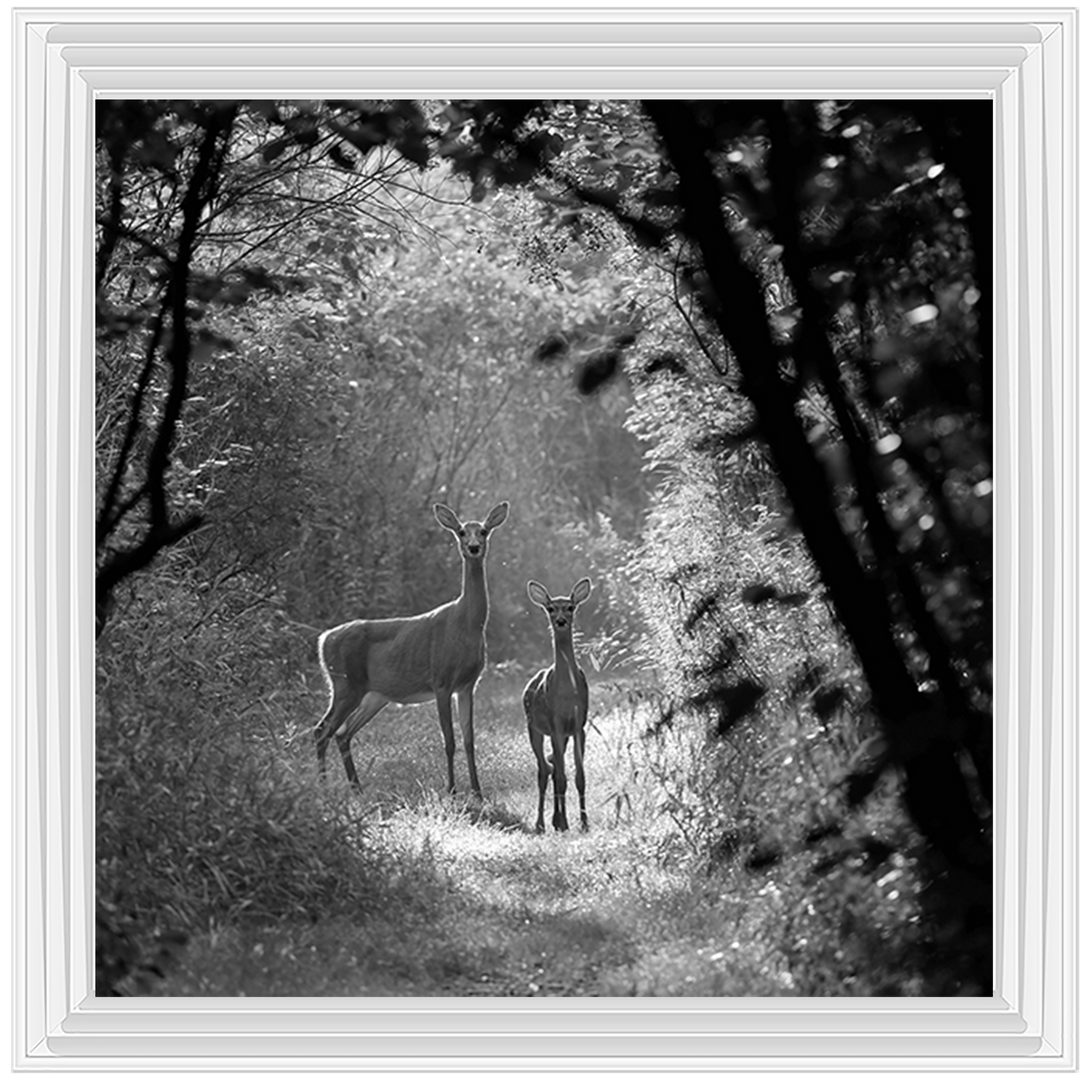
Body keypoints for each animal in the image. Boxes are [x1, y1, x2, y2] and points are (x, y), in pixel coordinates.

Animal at [315, 500, 509, 799]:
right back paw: (324, 788)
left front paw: (477, 791)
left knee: (342, 733)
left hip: (374, 695)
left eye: (484, 531)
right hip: (345, 684)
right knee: (322, 730)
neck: (466, 624)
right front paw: (451, 789)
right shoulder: (441, 680)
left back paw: (356, 788)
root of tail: (323, 640)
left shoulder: (468, 684)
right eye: (462, 532)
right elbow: (449, 740)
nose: (474, 547)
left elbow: (469, 740)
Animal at [522, 577, 592, 833]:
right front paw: (564, 823)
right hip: (533, 728)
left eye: (570, 607)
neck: (567, 691)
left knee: (552, 768)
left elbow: (579, 777)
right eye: (551, 608)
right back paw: (542, 823)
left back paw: (555, 819)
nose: (561, 620)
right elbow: (561, 776)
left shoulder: (578, 725)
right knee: (544, 770)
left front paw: (584, 823)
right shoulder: (555, 725)